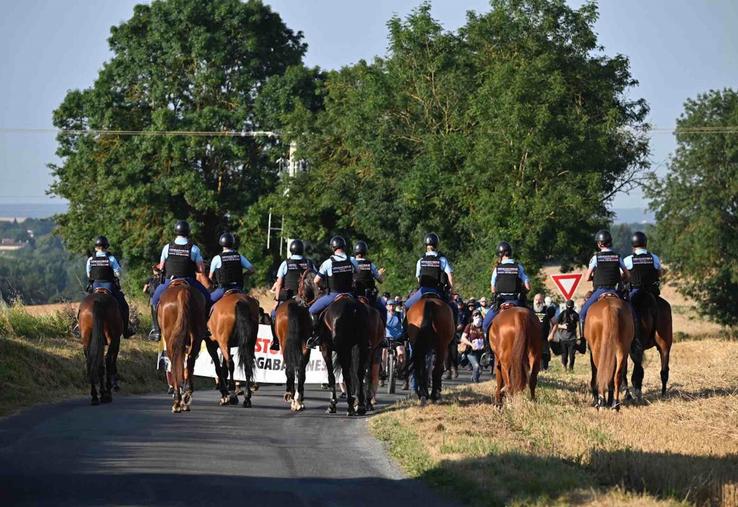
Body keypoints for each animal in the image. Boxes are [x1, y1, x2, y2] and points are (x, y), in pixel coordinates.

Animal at [157, 280, 207, 414]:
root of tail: (183, 292)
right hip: (195, 338)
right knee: (190, 361)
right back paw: (186, 396)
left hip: (170, 340)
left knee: (174, 363)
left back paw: (177, 401)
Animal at [272, 272, 314, 410]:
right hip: (306, 345)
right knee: (301, 367)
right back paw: (299, 399)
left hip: (284, 344)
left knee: (290, 367)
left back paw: (292, 397)